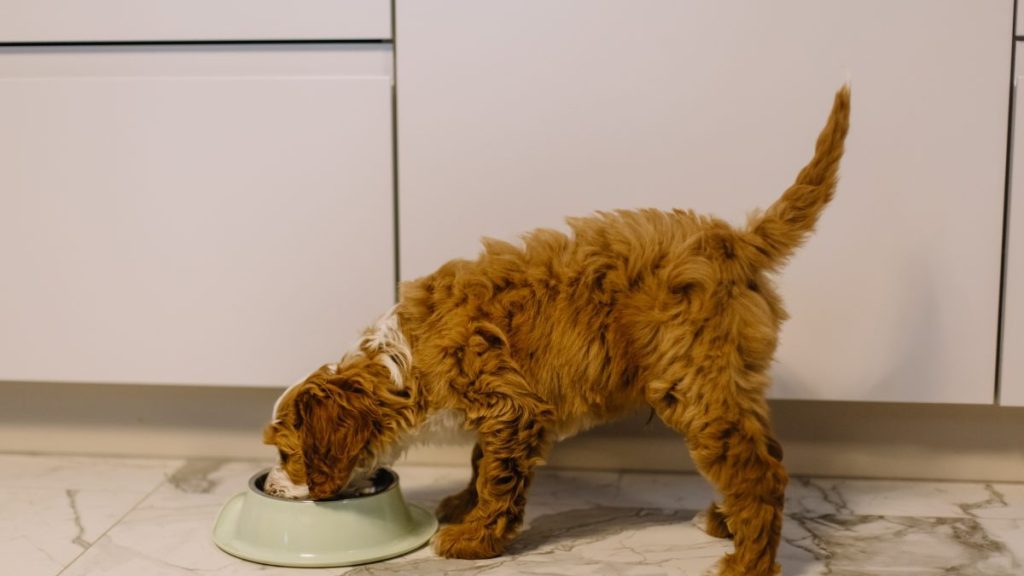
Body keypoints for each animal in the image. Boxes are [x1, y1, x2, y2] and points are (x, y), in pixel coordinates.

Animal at [262, 86, 847, 573]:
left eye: (287, 454)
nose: (270, 483)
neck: (401, 360)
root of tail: (735, 242)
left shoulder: (510, 404)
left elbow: (498, 475)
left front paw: (472, 538)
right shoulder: (503, 405)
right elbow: (481, 461)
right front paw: (463, 506)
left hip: (696, 382)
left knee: (758, 473)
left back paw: (747, 562)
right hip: (733, 375)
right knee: (767, 453)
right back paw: (728, 522)